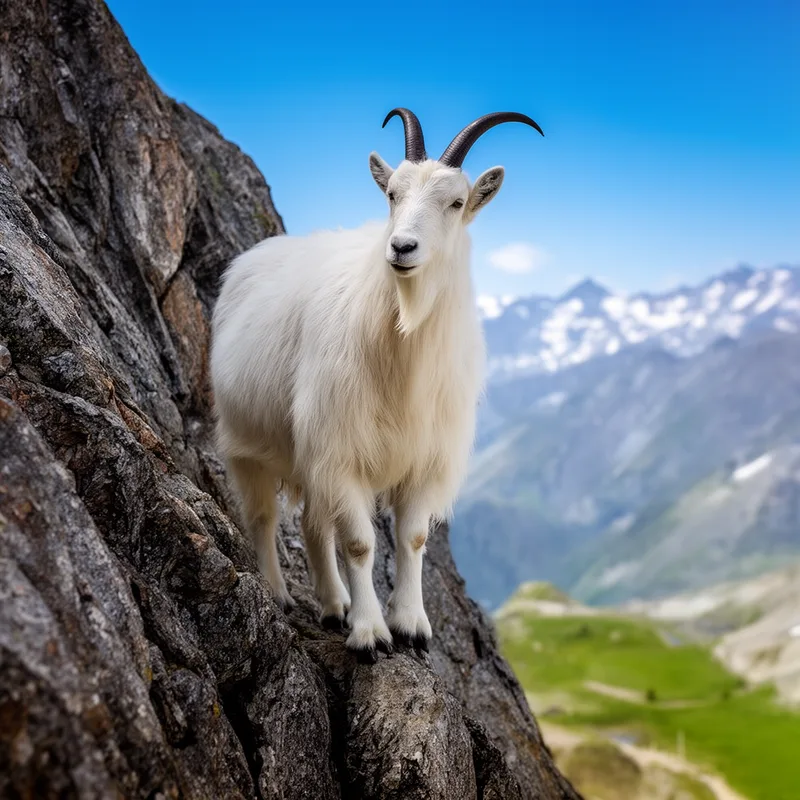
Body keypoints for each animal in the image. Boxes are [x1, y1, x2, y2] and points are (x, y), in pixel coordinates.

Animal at [210, 109, 543, 661]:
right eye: (391, 194)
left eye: (456, 202)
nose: (402, 247)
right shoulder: (342, 454)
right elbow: (361, 544)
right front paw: (369, 633)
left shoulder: (422, 462)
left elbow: (411, 540)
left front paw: (411, 626)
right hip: (248, 443)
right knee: (263, 517)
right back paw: (279, 593)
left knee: (312, 524)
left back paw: (331, 606)